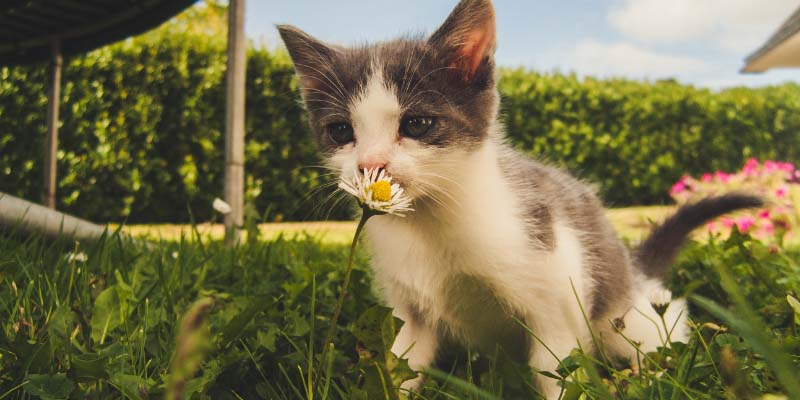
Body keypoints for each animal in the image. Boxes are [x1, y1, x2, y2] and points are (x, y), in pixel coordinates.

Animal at [278, 0, 760, 396]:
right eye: (341, 131)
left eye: (416, 124)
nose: (370, 165)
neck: (431, 222)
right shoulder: (410, 312)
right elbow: (402, 365)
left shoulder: (557, 292)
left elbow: (557, 373)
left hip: (625, 315)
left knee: (660, 328)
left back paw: (648, 373)